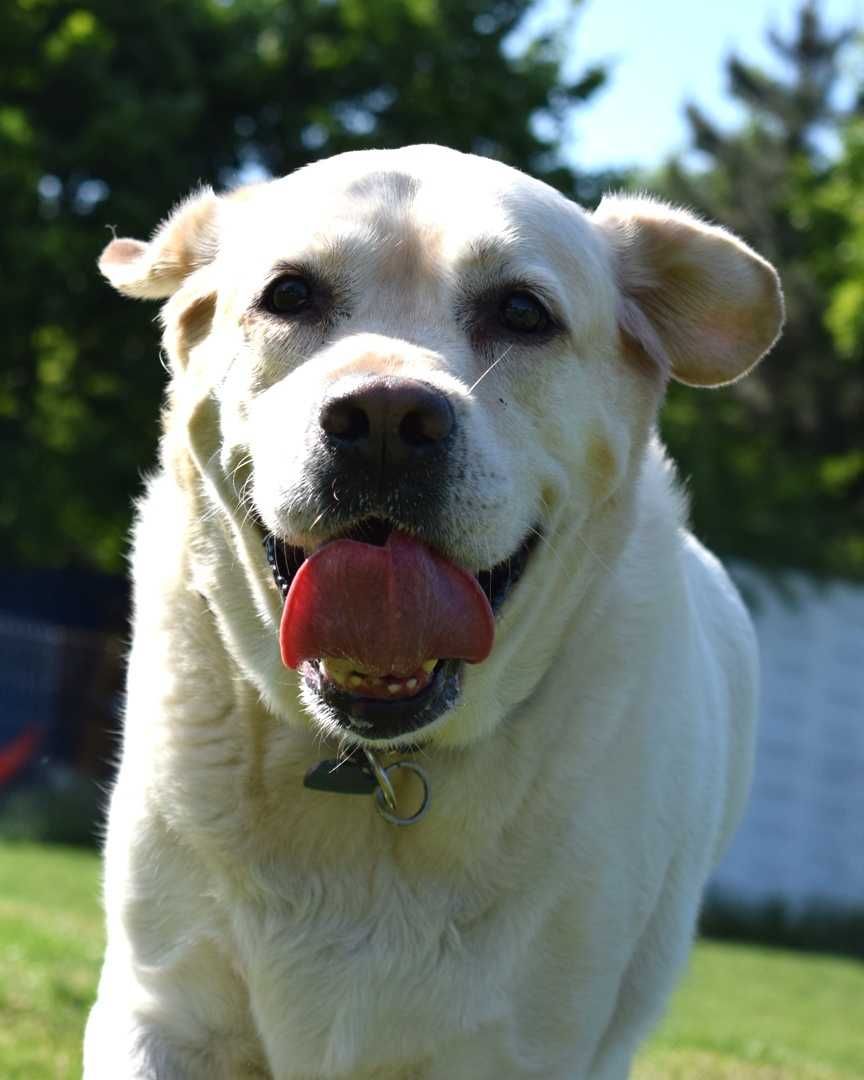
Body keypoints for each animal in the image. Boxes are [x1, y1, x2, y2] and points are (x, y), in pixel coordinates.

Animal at [85, 145, 781, 1080]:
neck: (377, 769)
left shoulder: (529, 1049)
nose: (385, 418)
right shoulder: (160, 1008)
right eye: (289, 294)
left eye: (522, 311)